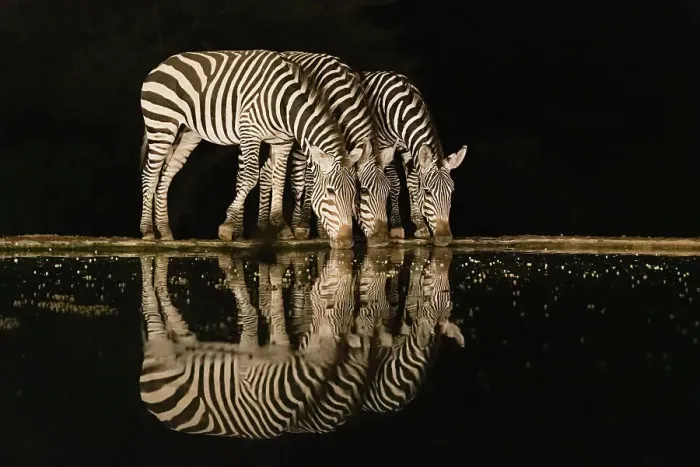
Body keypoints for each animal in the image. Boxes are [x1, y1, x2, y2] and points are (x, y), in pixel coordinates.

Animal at [139, 49, 360, 249]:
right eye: (330, 192)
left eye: (354, 193)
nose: (346, 242)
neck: (284, 104)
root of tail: (162, 64)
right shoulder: (250, 132)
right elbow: (250, 177)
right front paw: (228, 226)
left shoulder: (283, 142)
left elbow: (278, 180)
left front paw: (281, 226)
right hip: (162, 125)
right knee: (150, 174)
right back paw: (148, 231)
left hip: (187, 133)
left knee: (166, 175)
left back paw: (164, 230)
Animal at [257, 52, 393, 246]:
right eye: (364, 192)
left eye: (388, 191)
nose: (383, 241)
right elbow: (308, 182)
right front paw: (306, 227)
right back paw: (266, 225)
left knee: (267, 171)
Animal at [288, 71, 467, 246]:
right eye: (428, 192)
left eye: (452, 191)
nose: (444, 239)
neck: (398, 107)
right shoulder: (382, 145)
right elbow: (395, 182)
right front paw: (396, 226)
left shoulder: (407, 149)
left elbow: (412, 182)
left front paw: (420, 225)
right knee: (306, 179)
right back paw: (301, 225)